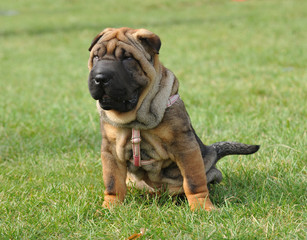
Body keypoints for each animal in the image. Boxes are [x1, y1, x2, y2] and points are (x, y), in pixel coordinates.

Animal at [88, 27, 262, 210]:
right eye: (96, 57)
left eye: (128, 58)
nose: (100, 78)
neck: (136, 120)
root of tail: (212, 150)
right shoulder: (110, 150)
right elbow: (113, 182)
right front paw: (109, 207)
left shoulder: (185, 146)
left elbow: (193, 182)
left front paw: (202, 207)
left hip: (209, 170)